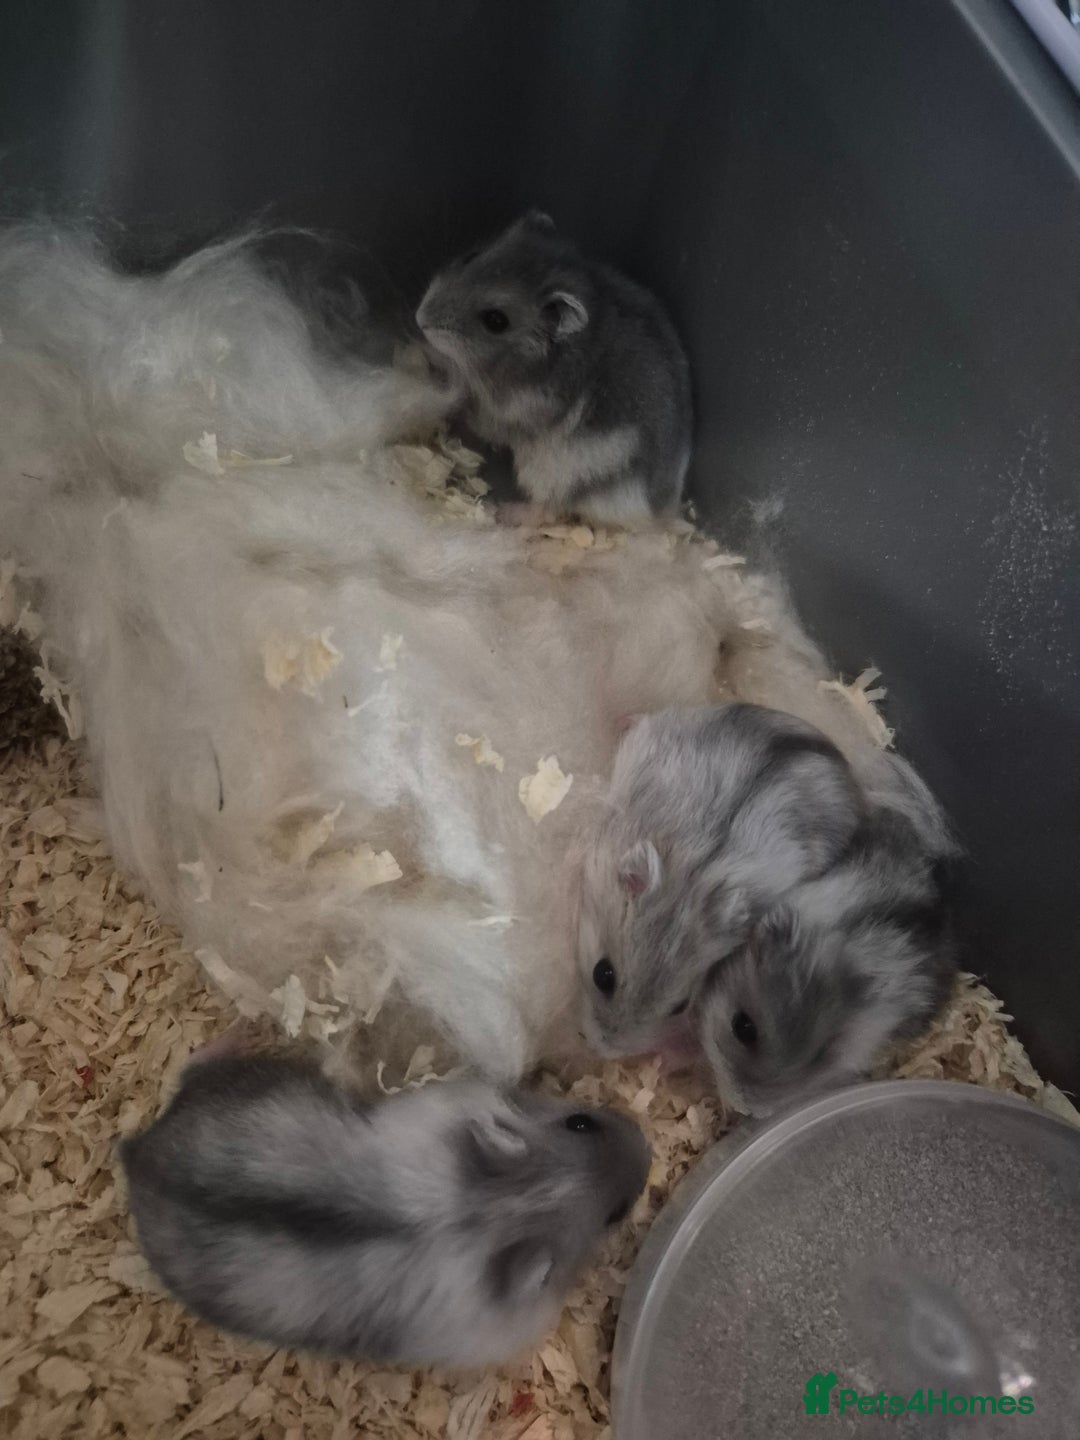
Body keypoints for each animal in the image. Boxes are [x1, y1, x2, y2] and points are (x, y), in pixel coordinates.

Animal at [415, 210, 692, 526]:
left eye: (496, 321)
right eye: (470, 257)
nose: (420, 318)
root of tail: (661, 515)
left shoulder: (510, 412)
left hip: (557, 473)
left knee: (548, 509)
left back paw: (506, 512)